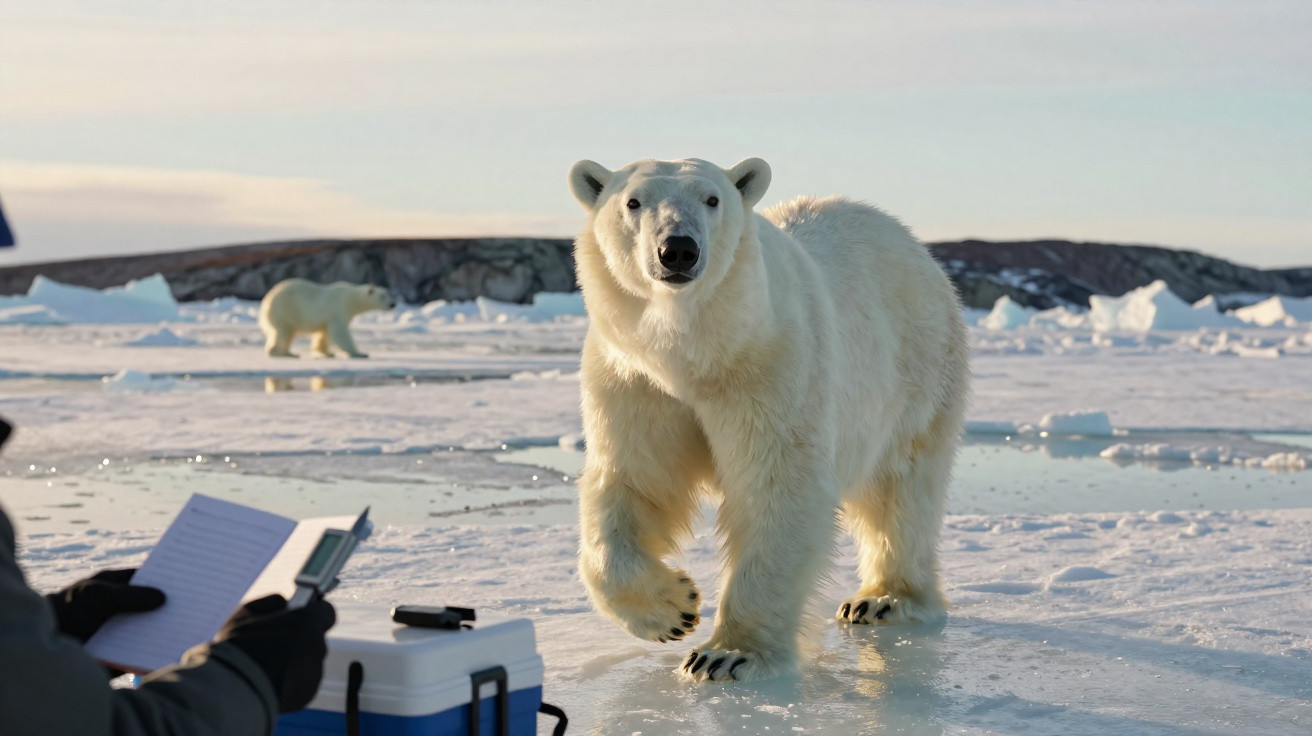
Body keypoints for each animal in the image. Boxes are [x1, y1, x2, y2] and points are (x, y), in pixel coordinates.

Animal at [258, 279, 396, 358]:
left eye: (388, 294)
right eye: (383, 296)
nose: (393, 304)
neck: (351, 299)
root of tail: (265, 302)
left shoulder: (327, 318)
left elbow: (324, 334)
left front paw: (326, 352)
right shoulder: (338, 309)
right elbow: (340, 332)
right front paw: (360, 353)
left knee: (287, 334)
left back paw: (288, 352)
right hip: (284, 310)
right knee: (284, 332)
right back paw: (281, 352)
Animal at [567, 157, 969, 683]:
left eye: (712, 199)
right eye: (633, 202)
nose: (678, 250)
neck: (696, 353)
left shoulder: (770, 366)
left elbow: (777, 487)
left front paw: (726, 655)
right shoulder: (635, 381)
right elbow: (634, 482)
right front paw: (674, 609)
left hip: (918, 368)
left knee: (901, 488)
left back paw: (884, 600)